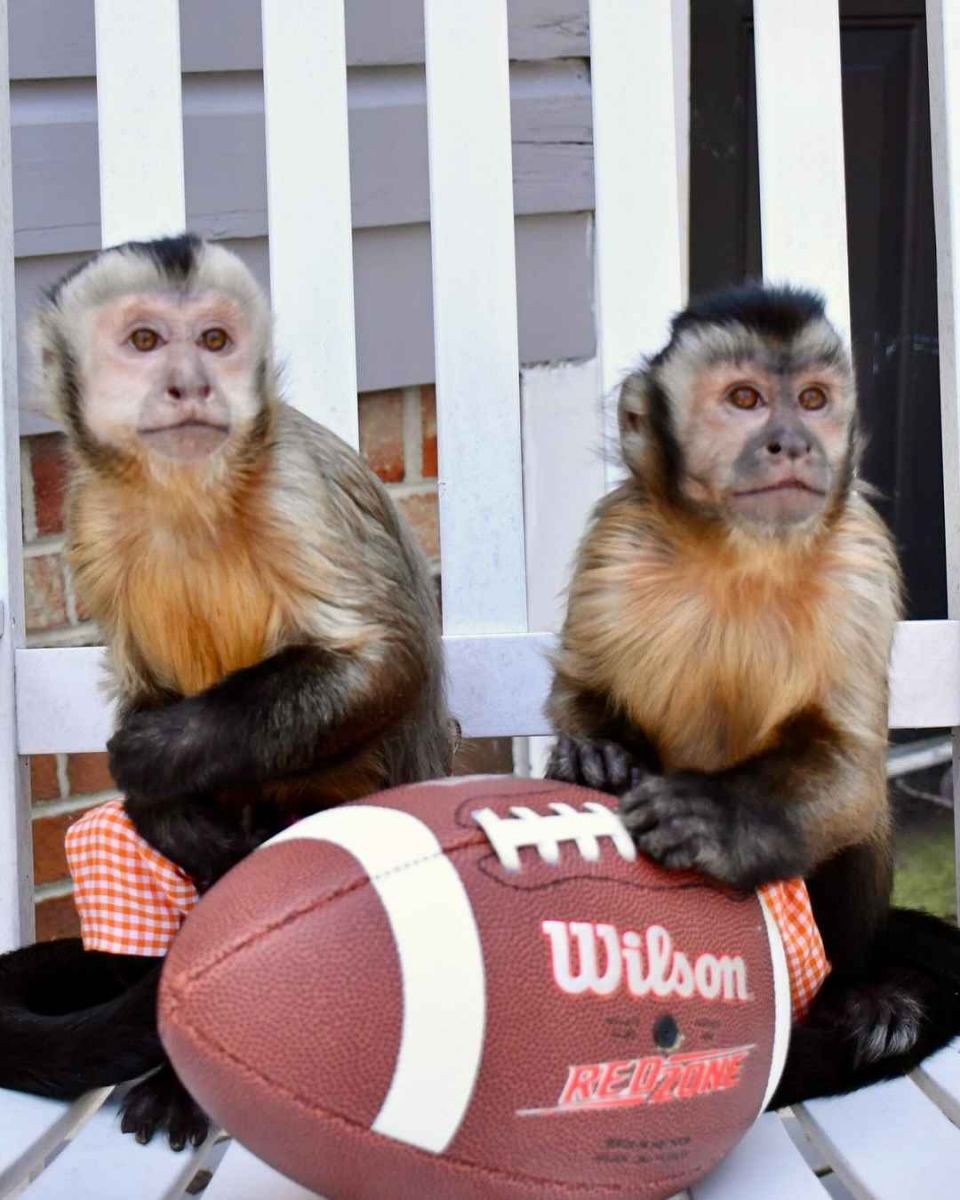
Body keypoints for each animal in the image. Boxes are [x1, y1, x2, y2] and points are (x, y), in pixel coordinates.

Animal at [0, 234, 452, 1145]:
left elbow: (389, 663)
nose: (191, 385)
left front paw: (158, 757)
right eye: (144, 342)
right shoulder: (88, 516)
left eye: (214, 341)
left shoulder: (296, 487)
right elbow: (139, 689)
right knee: (112, 849)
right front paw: (162, 805)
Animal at [546, 283, 960, 1104]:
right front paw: (594, 757)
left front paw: (717, 818)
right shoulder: (617, 543)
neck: (738, 552)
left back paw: (865, 1000)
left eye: (813, 400)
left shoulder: (863, 558)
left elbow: (852, 767)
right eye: (745, 399)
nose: (792, 443)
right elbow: (580, 683)